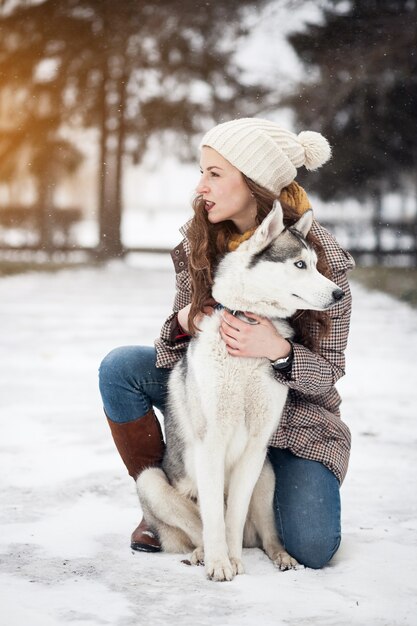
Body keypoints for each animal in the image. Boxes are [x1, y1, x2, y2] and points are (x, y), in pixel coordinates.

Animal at [137, 204, 344, 580]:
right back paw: (201, 554)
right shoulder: (210, 444)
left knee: (268, 537)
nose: (339, 294)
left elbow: (232, 515)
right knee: (197, 526)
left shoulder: (255, 448)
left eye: (316, 263)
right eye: (299, 264)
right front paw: (220, 563)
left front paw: (231, 560)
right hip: (151, 481)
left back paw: (281, 557)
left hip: (265, 474)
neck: (249, 317)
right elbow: (215, 519)